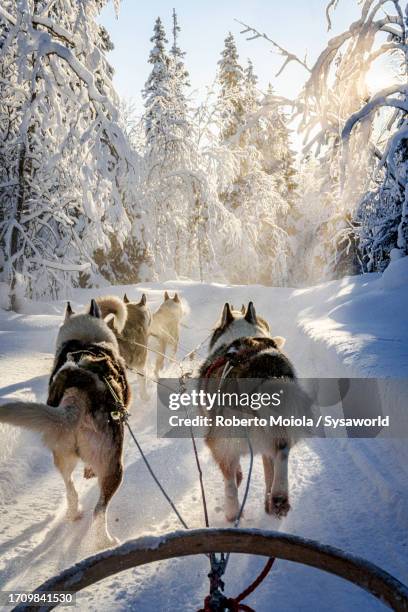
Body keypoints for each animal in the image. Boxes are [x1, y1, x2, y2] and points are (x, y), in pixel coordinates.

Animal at [0, 302, 131, 548]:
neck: (85, 341)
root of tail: (76, 396)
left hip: (62, 457)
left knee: (71, 490)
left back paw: (73, 514)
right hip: (114, 467)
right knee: (99, 510)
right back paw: (105, 542)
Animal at [199, 302, 302, 520]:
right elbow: (268, 469)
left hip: (220, 441)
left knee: (230, 481)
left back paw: (232, 512)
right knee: (282, 449)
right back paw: (278, 497)